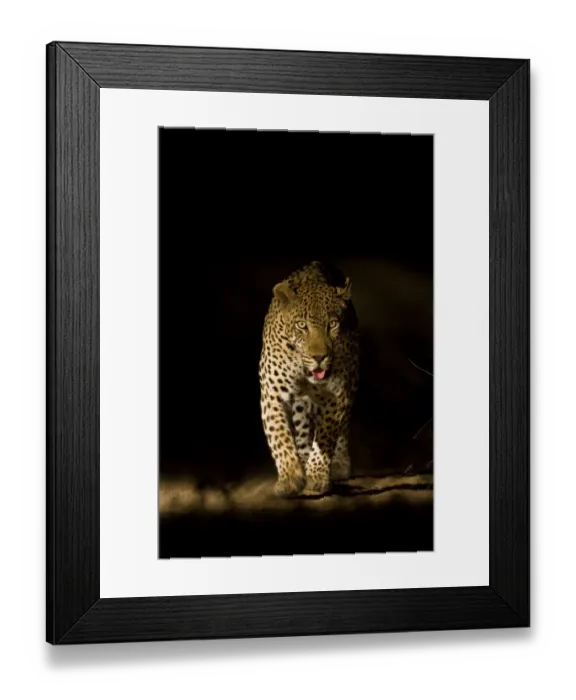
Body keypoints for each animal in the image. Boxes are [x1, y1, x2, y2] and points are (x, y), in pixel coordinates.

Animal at [259, 261, 360, 497]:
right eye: (302, 325)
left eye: (332, 324)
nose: (319, 357)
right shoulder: (272, 393)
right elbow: (279, 436)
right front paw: (290, 477)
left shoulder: (339, 393)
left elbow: (326, 434)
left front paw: (316, 476)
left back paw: (339, 464)